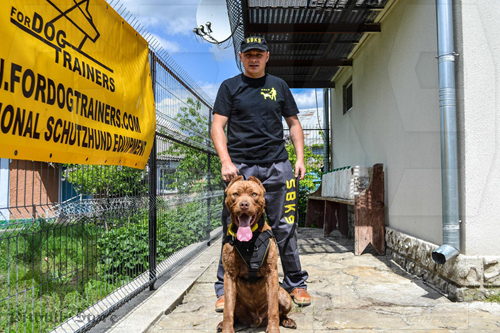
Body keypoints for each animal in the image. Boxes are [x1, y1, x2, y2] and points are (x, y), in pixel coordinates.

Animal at [216, 175, 294, 330]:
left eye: (254, 194)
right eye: (235, 194)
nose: (244, 205)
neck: (250, 240)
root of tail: (256, 320)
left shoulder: (271, 272)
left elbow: (273, 308)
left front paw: (273, 329)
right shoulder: (229, 275)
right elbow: (228, 310)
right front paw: (227, 328)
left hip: (284, 296)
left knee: (281, 312)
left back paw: (287, 320)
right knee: (233, 313)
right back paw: (222, 324)